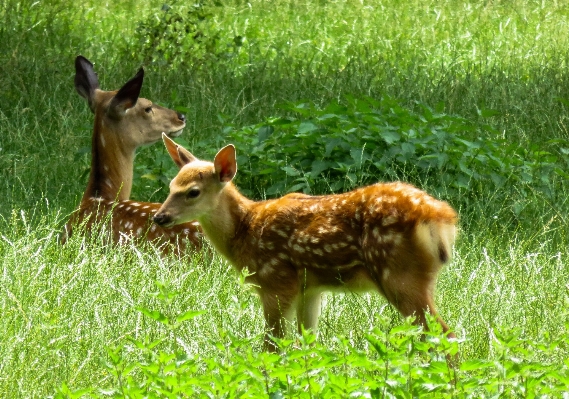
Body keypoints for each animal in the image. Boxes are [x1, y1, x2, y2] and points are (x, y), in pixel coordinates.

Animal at [153, 136, 454, 352]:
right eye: (171, 186)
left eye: (193, 192)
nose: (159, 217)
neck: (245, 229)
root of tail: (441, 217)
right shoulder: (310, 288)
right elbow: (306, 342)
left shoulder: (276, 281)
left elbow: (272, 346)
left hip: (399, 272)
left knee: (443, 334)